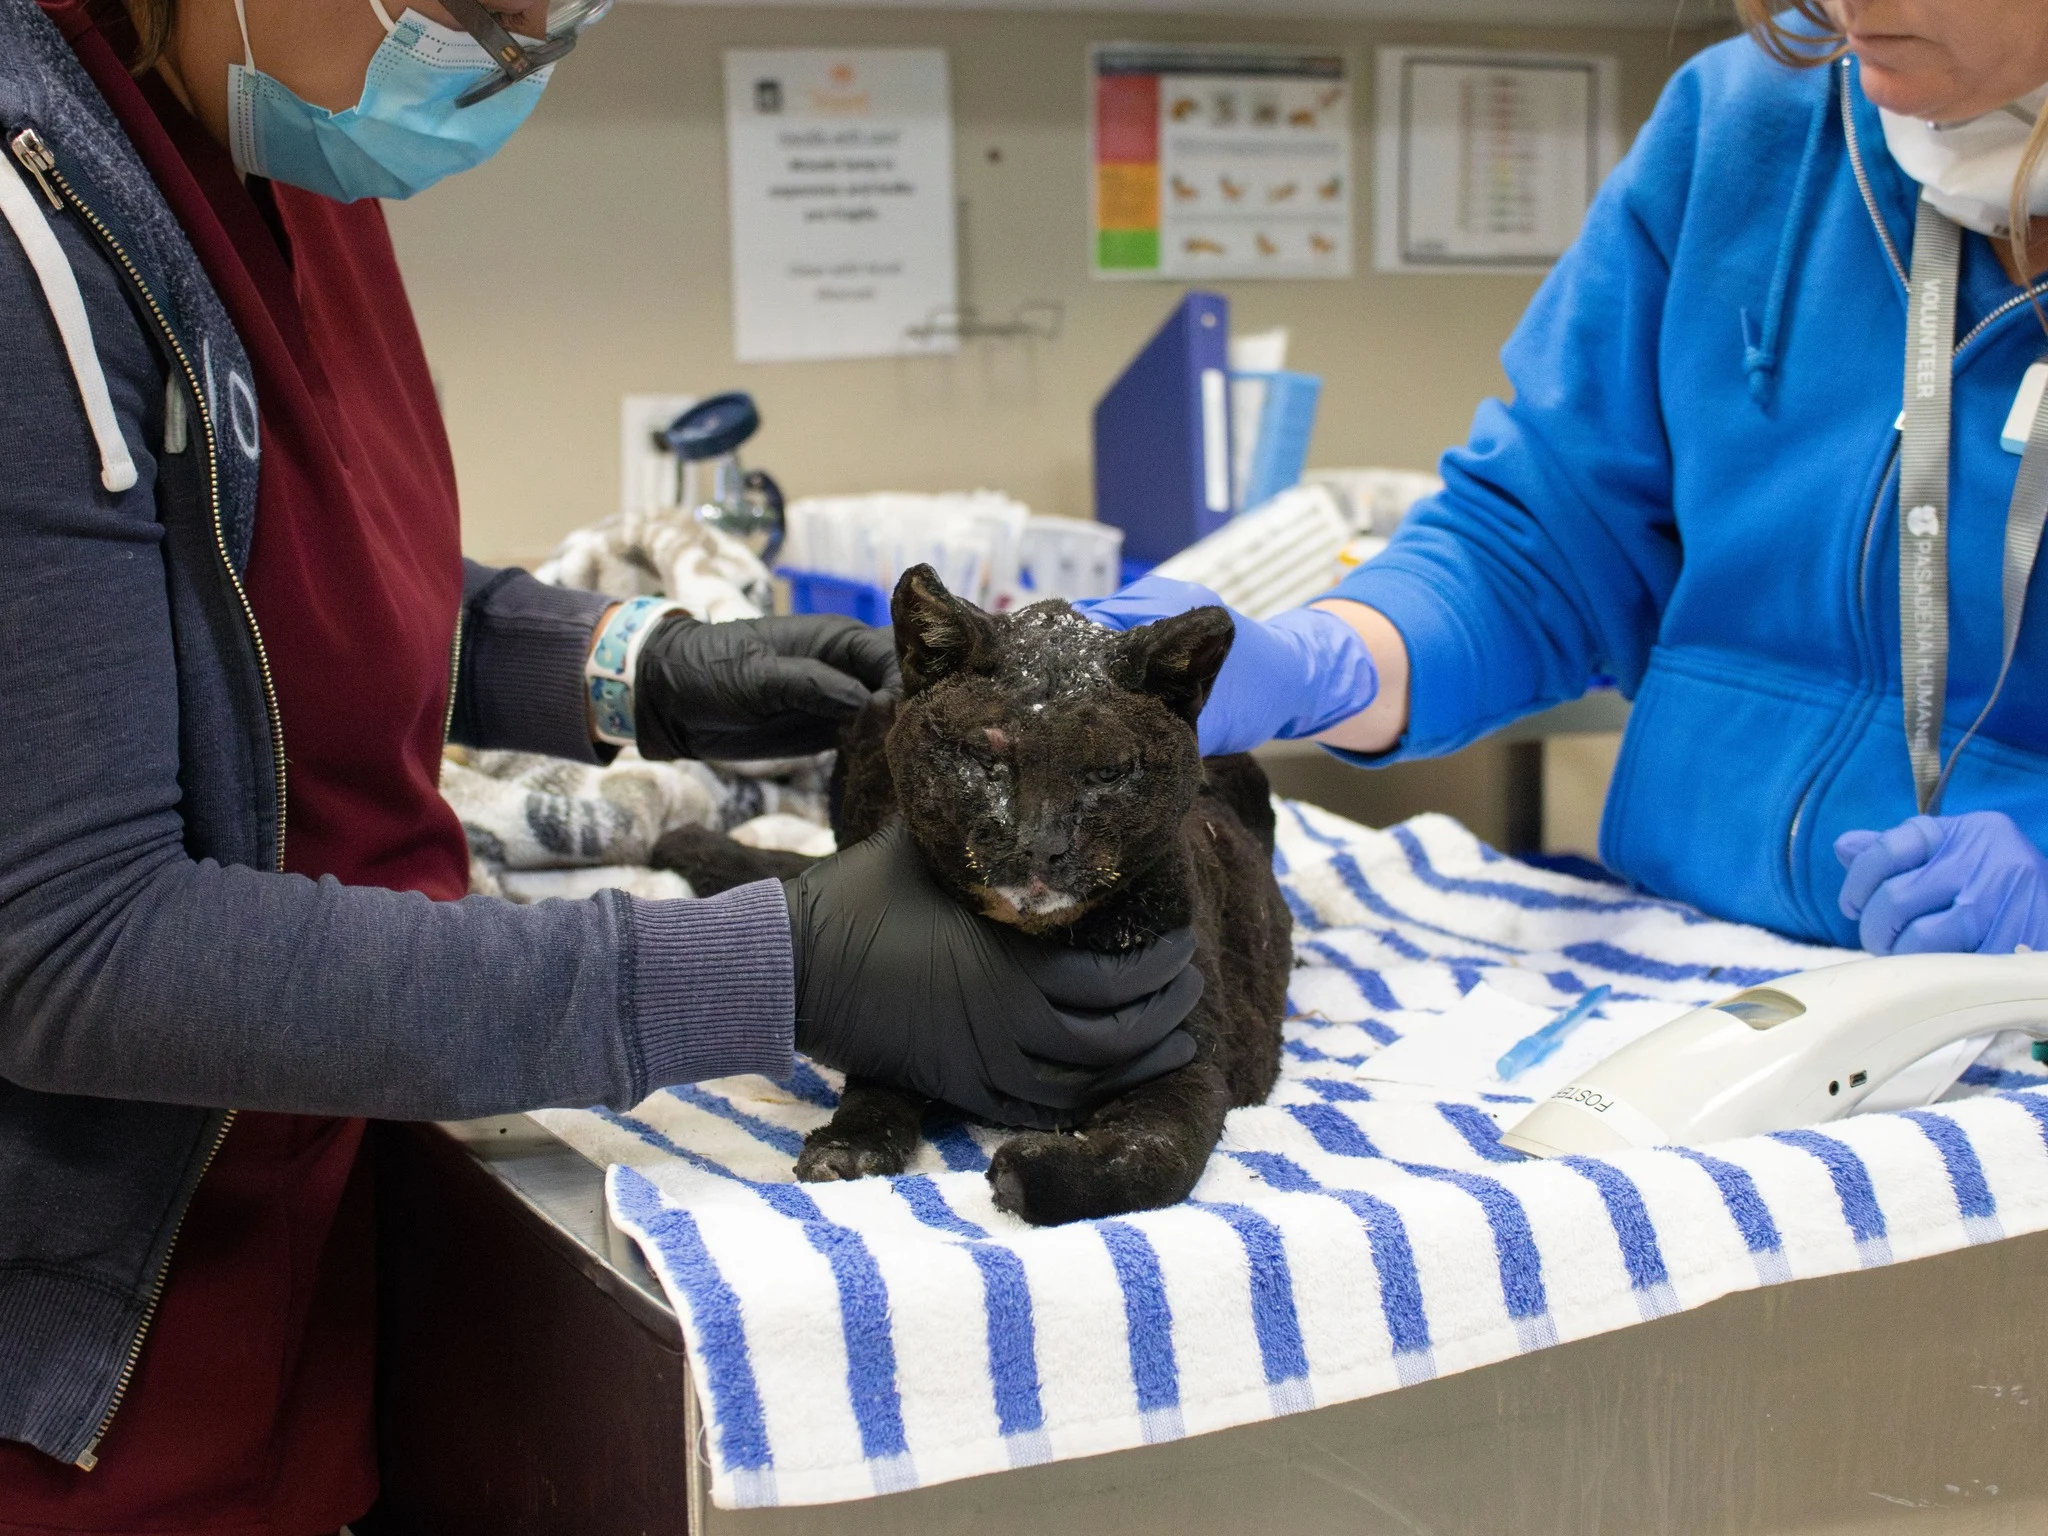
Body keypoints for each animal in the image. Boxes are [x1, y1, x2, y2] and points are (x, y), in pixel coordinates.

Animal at [663, 565, 1286, 1228]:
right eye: (986, 756)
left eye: (1107, 773)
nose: (1042, 843)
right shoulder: (897, 1019)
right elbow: (878, 1082)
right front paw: (847, 1147)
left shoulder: (1191, 1059)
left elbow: (1152, 1157)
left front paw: (1032, 1173)